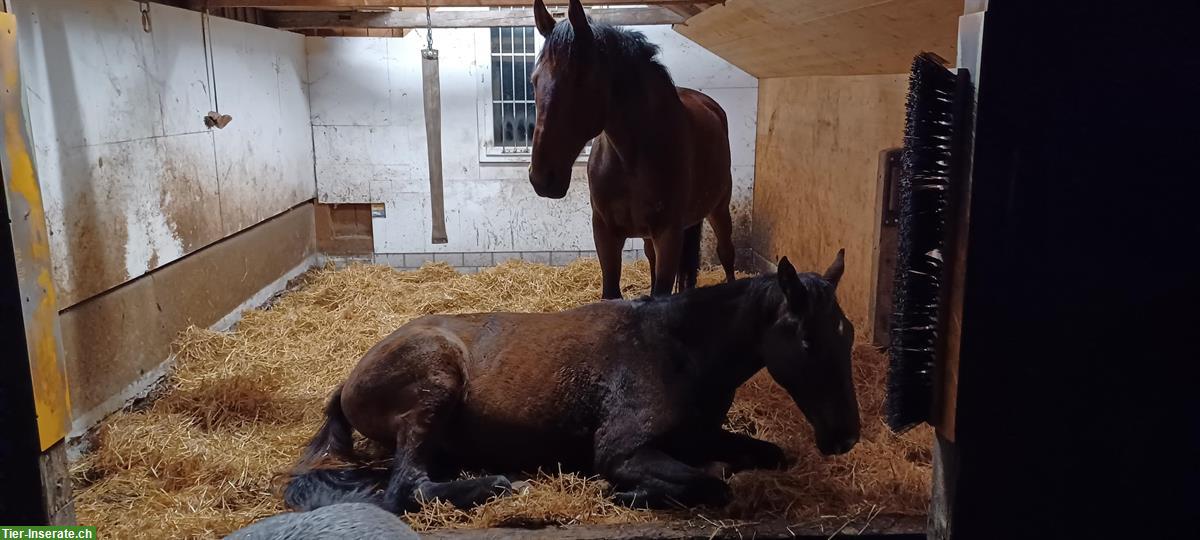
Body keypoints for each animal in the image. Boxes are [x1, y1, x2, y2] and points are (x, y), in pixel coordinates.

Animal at [284, 250, 859, 513]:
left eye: (847, 333)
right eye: (807, 341)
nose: (846, 436)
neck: (675, 348)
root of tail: (349, 381)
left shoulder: (702, 435)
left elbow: (765, 455)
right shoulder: (623, 451)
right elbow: (709, 483)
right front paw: (623, 494)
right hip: (434, 389)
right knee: (407, 487)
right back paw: (496, 485)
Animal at [530, 0, 734, 300]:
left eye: (579, 79)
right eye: (534, 80)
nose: (542, 178)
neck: (630, 158)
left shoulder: (668, 234)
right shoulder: (605, 233)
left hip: (719, 209)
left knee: (727, 254)